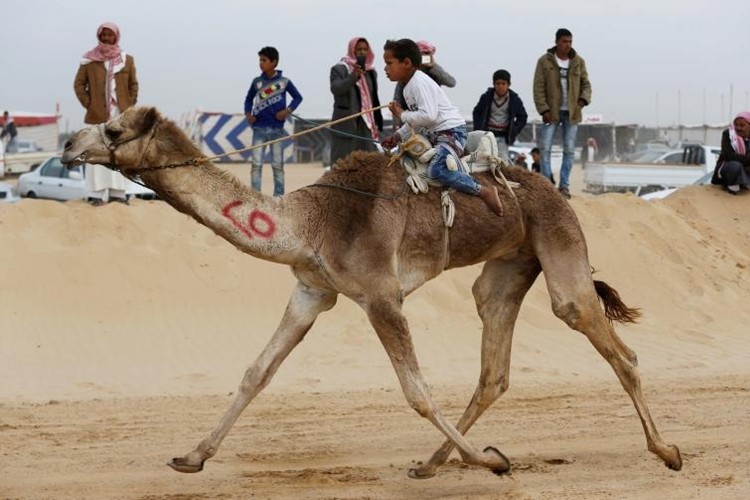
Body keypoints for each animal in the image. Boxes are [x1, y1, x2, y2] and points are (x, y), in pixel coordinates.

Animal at [63, 107, 688, 478]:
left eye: (114, 130)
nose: (69, 144)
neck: (309, 222)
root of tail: (557, 191)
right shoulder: (312, 291)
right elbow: (256, 372)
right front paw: (192, 456)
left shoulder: (382, 295)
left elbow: (416, 392)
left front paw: (491, 463)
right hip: (511, 266)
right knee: (494, 367)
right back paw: (432, 465)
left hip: (560, 244)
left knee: (609, 340)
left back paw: (668, 452)